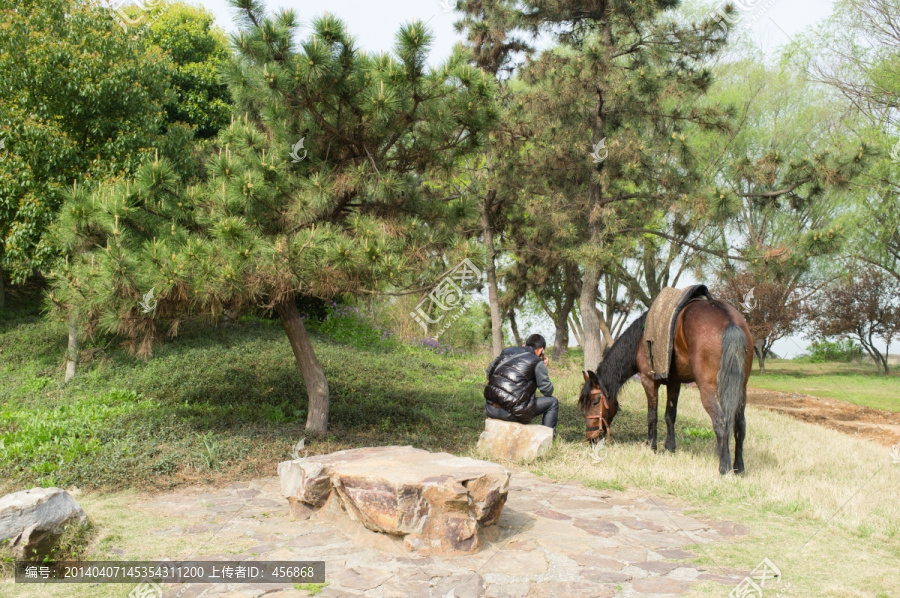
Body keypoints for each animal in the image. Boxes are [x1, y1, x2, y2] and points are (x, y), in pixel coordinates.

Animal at [579, 299, 753, 475]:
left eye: (595, 402)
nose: (591, 438)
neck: (639, 341)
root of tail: (729, 320)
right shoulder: (674, 383)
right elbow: (670, 416)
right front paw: (669, 448)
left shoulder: (648, 381)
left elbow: (652, 416)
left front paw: (651, 446)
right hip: (741, 390)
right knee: (740, 425)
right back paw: (739, 467)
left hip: (708, 390)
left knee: (721, 422)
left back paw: (724, 468)